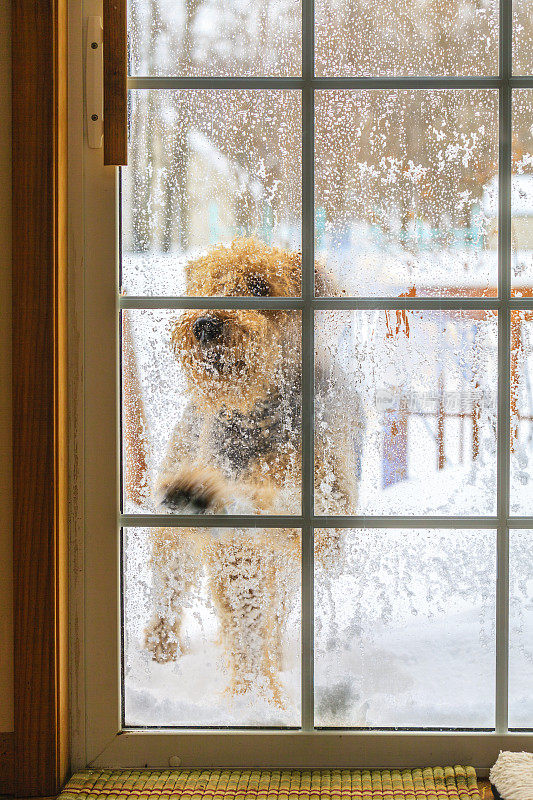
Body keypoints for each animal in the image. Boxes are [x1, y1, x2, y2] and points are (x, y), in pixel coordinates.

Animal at [143, 239, 364, 708]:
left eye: (261, 285)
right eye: (208, 285)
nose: (205, 325)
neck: (261, 413)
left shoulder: (328, 510)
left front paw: (258, 699)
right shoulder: (236, 554)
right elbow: (244, 622)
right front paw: (251, 699)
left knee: (274, 610)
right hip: (172, 541)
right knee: (168, 590)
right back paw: (161, 646)